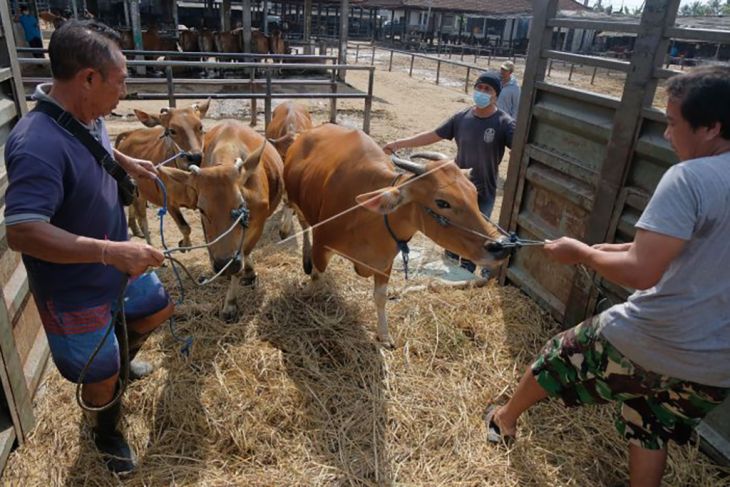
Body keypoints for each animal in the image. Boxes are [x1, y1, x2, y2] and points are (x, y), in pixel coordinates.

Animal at [115, 102, 209, 248]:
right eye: (172, 130)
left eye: (200, 127)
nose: (195, 157)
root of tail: (130, 134)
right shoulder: (169, 203)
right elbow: (185, 227)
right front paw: (184, 244)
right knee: (142, 217)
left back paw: (135, 229)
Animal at [166, 121, 282, 320]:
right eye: (201, 209)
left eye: (241, 203)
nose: (224, 264)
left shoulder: (258, 225)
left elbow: (244, 256)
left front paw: (231, 303)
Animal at [282, 124, 510, 348]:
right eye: (442, 202)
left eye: (474, 194)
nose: (501, 245)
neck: (366, 217)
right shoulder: (322, 244)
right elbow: (316, 278)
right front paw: (307, 292)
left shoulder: (385, 262)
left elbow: (380, 297)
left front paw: (384, 335)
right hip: (294, 197)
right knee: (297, 216)